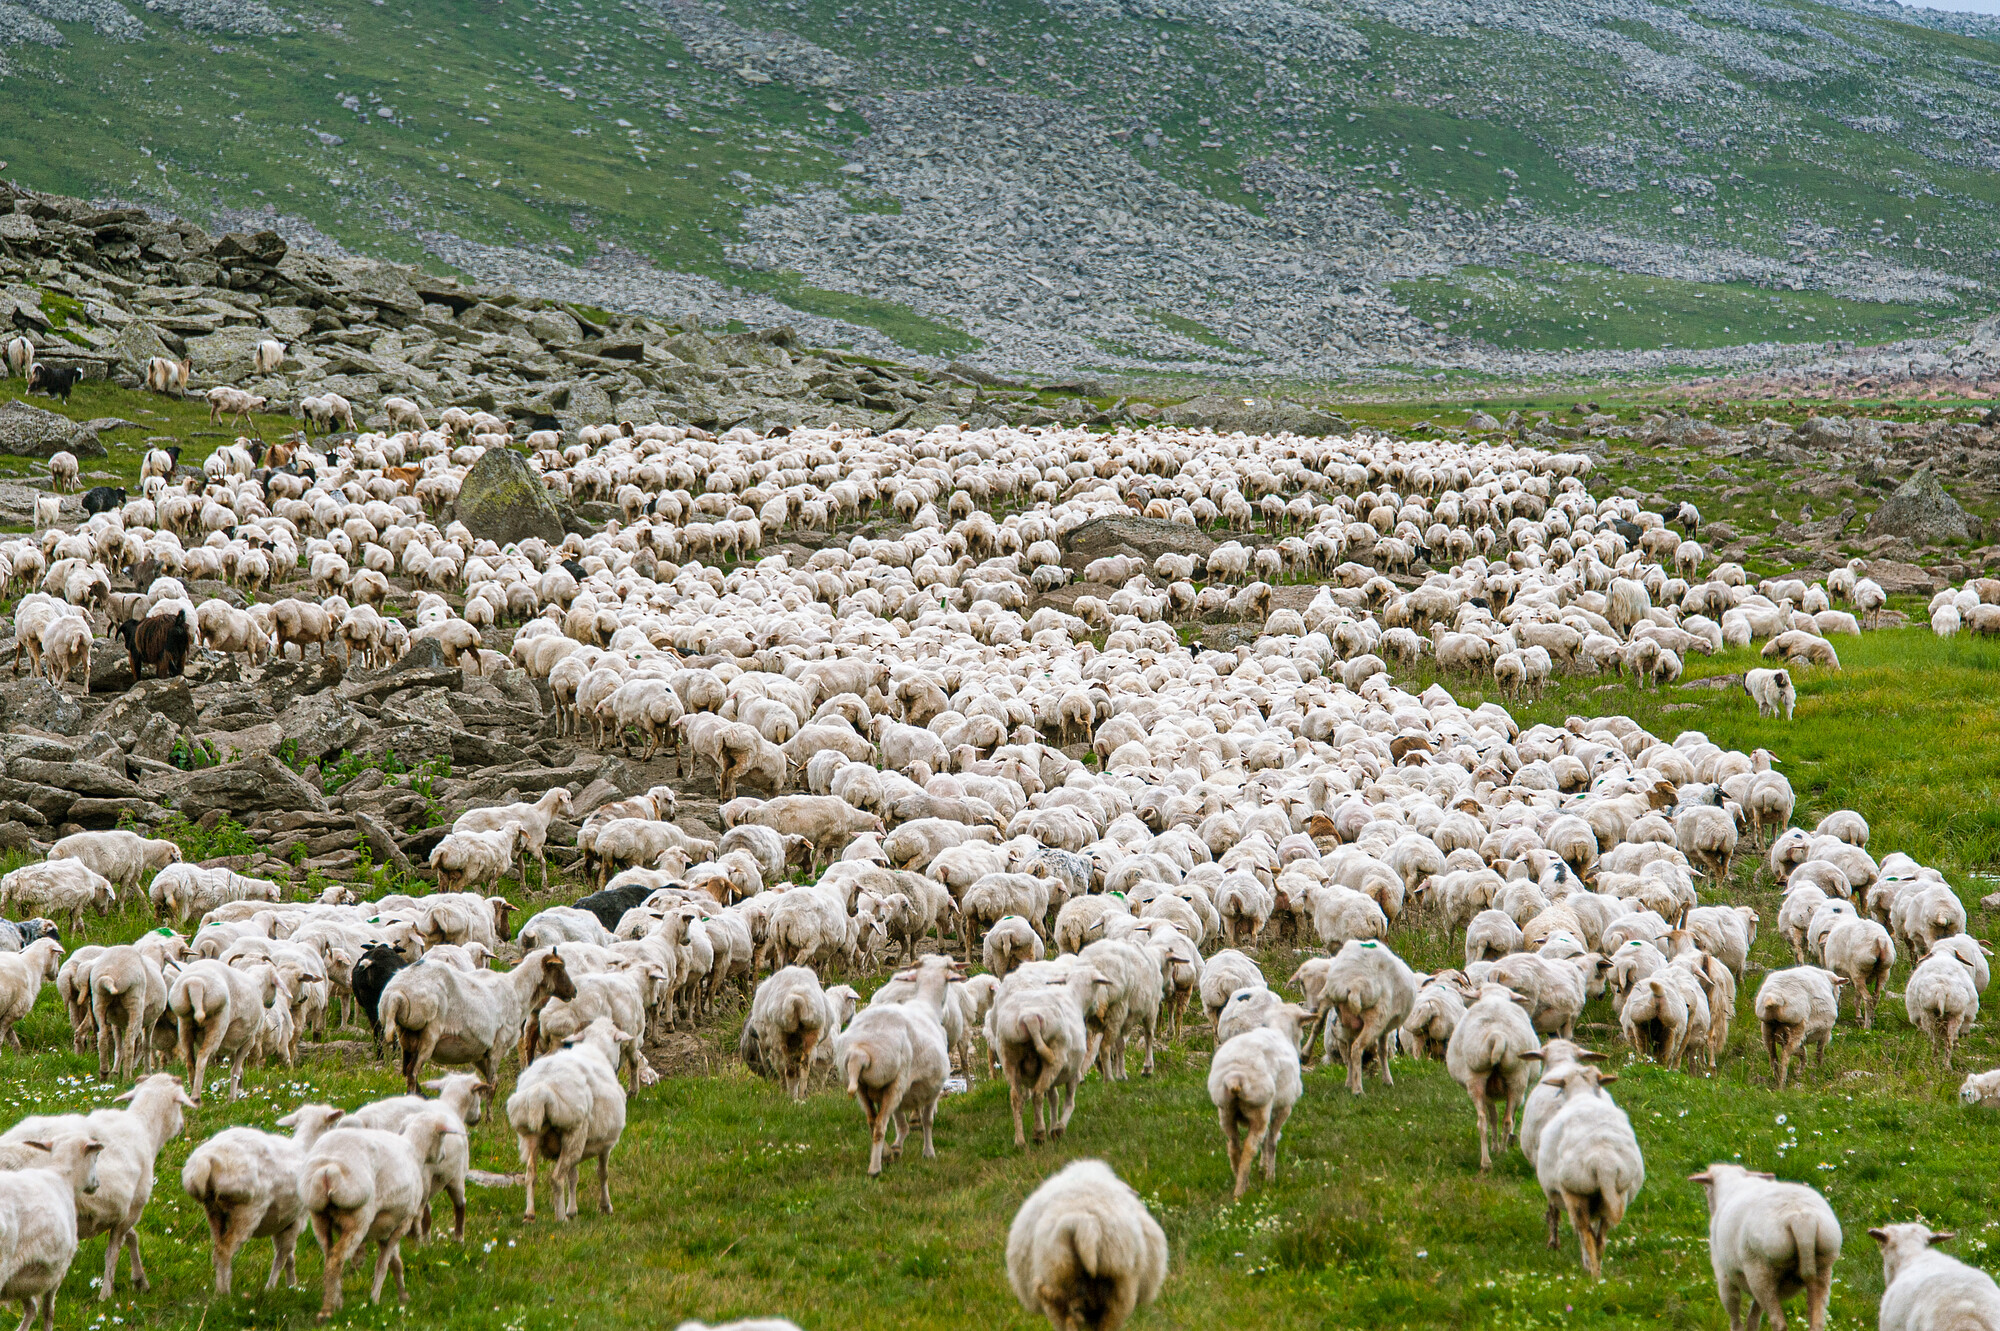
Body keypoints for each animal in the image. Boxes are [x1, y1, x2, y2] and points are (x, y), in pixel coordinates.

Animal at [1448, 979, 1536, 1167]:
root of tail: (1497, 1036)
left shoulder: (1489, 1093)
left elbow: (1494, 1117)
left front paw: (1496, 1146)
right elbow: (1501, 1117)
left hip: (1477, 1078)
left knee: (1486, 1121)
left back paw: (1491, 1158)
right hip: (1516, 1078)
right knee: (1504, 1120)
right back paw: (1495, 1156)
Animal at [1528, 1055, 1640, 1279]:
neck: (1582, 1094)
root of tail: (1604, 1162)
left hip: (1575, 1190)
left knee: (1585, 1233)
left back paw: (1592, 1273)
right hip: (1618, 1193)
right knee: (1600, 1237)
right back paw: (1597, 1269)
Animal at [1688, 1159, 1840, 1327]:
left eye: (1706, 1188)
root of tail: (1801, 1218)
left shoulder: (1724, 1276)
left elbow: (1736, 1318)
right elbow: (1753, 1316)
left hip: (1759, 1271)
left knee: (1778, 1323)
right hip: (1823, 1267)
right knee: (1817, 1322)